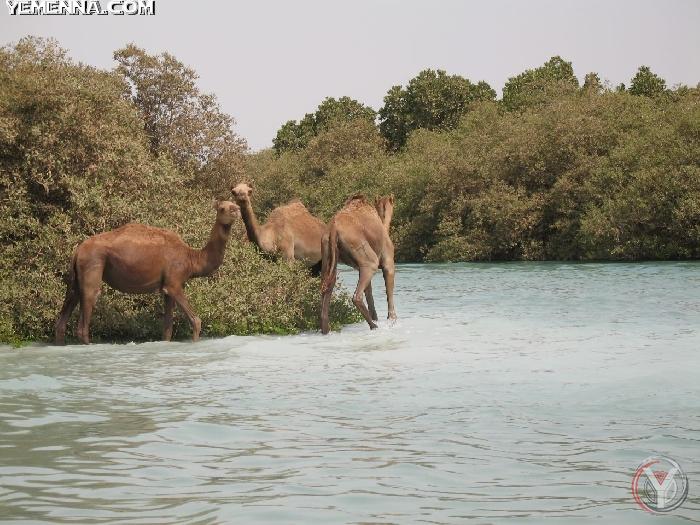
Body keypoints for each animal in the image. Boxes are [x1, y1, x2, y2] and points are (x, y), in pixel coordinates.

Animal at [54, 200, 241, 344]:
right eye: (222, 208)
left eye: (234, 204)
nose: (237, 210)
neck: (192, 259)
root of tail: (77, 250)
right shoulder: (174, 283)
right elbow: (196, 321)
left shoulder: (167, 288)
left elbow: (167, 330)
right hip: (92, 265)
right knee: (84, 320)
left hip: (75, 278)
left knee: (63, 318)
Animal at [322, 194, 396, 334]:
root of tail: (333, 229)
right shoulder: (388, 260)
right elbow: (389, 289)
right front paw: (392, 320)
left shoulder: (359, 268)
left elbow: (370, 294)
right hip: (365, 254)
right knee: (357, 295)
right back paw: (374, 326)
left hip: (327, 253)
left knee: (326, 287)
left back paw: (325, 330)